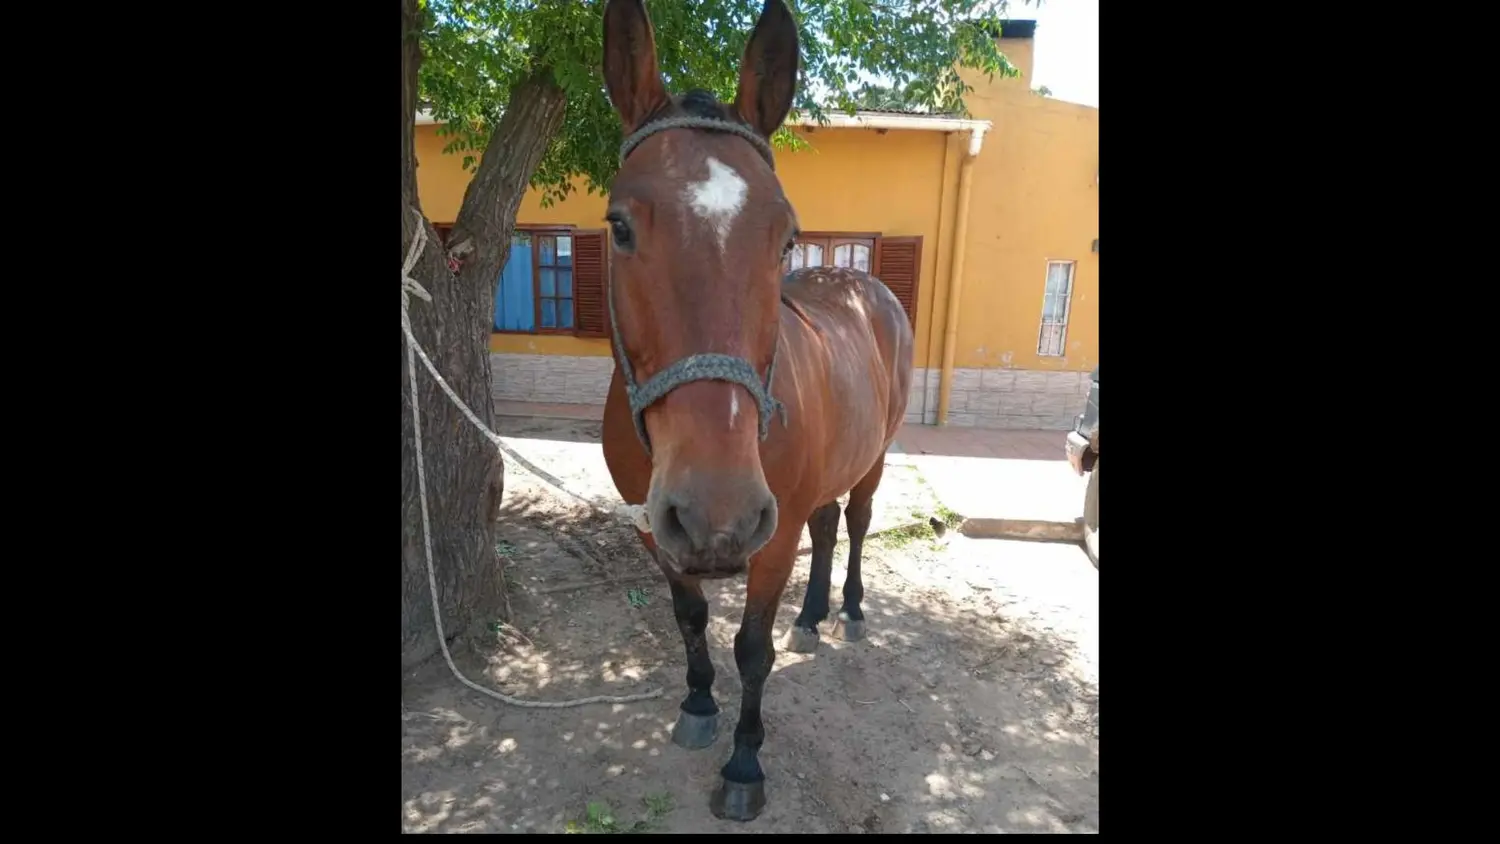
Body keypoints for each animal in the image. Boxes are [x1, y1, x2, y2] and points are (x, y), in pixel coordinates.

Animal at [597, 0, 915, 822]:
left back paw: (849, 612)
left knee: (856, 522)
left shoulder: (769, 540)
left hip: (874, 457)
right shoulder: (658, 530)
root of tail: (862, 285)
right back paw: (811, 617)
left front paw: (744, 764)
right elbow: (689, 621)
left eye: (786, 236)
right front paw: (699, 706)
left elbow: (750, 649)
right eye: (619, 226)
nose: (719, 512)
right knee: (828, 525)